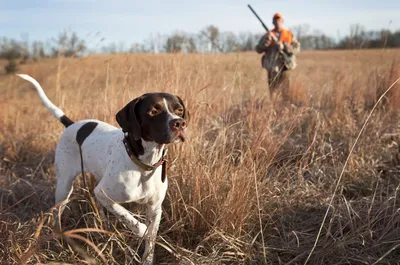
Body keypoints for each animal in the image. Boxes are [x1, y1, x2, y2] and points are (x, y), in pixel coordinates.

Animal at [16, 73, 188, 262]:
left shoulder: (155, 208)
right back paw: (59, 237)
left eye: (179, 110)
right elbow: (132, 220)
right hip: (64, 186)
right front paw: (141, 230)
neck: (144, 165)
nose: (180, 123)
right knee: (57, 213)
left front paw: (147, 258)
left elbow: (150, 241)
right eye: (153, 111)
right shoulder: (103, 193)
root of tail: (72, 124)